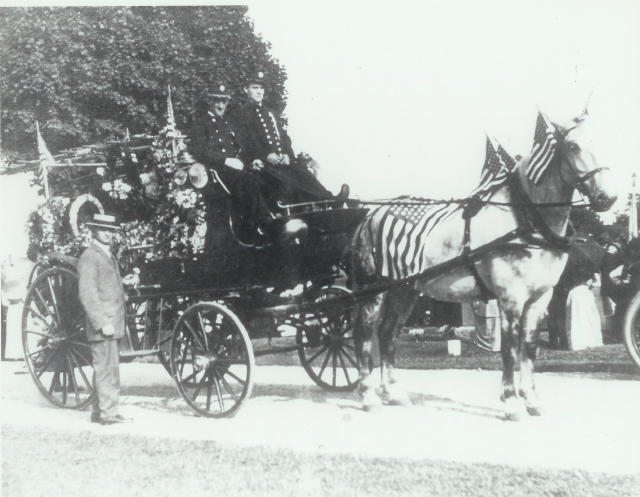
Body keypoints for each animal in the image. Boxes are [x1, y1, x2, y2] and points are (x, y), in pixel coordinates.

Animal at [350, 111, 616, 418]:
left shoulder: (540, 299)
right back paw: (368, 396)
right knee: (365, 332)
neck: (525, 221)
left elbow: (530, 347)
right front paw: (512, 403)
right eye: (573, 146)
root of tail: (371, 214)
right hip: (376, 289)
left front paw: (532, 401)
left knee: (387, 333)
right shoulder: (510, 299)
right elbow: (510, 349)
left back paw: (394, 393)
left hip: (404, 290)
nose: (607, 198)